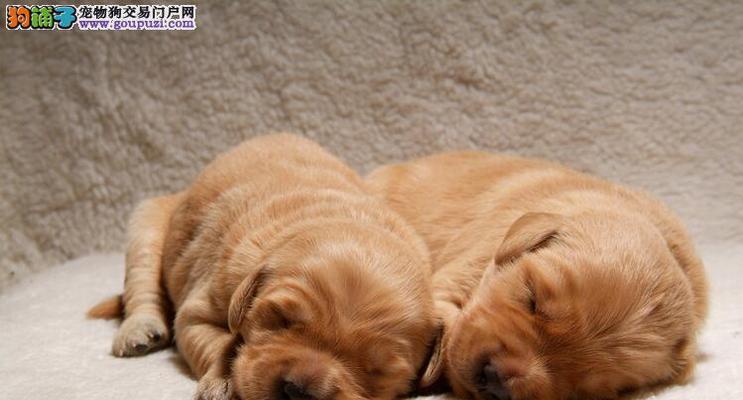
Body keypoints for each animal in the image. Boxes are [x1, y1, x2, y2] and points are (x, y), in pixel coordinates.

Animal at [89, 134, 434, 400]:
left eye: (378, 370)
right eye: (280, 319)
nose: (298, 391)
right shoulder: (197, 312)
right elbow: (218, 342)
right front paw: (224, 381)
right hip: (146, 225)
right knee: (142, 286)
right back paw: (139, 332)